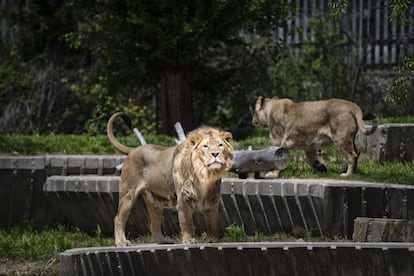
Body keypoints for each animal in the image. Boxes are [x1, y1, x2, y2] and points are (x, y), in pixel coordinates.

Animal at [106, 112, 233, 246]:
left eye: (220, 145)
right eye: (205, 146)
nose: (215, 154)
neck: (205, 175)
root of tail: (133, 149)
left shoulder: (212, 201)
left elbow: (213, 224)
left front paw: (215, 240)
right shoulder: (183, 200)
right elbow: (187, 223)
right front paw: (189, 240)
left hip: (155, 202)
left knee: (153, 223)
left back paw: (163, 241)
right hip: (128, 194)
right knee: (118, 218)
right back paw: (121, 242)